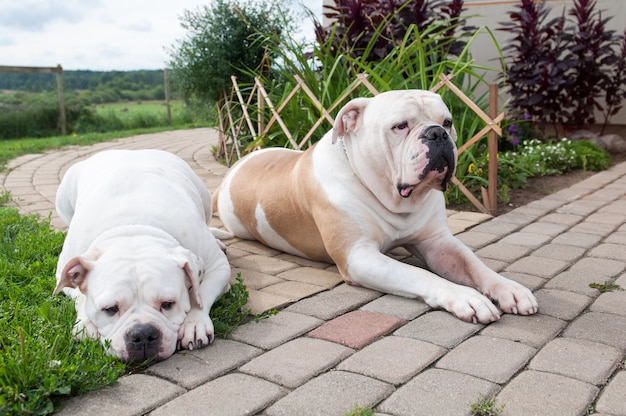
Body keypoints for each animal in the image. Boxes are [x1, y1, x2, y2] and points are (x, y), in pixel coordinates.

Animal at [54, 149, 229, 360]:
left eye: (168, 304)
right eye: (110, 309)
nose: (143, 334)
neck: (133, 228)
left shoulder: (218, 266)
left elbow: (199, 294)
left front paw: (194, 324)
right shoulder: (63, 271)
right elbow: (80, 297)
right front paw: (86, 324)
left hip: (206, 199)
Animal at [213, 89, 536, 324]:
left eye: (448, 122)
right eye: (400, 126)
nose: (437, 133)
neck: (391, 197)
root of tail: (236, 166)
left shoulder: (437, 242)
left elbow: (475, 264)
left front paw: (510, 288)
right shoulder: (359, 256)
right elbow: (419, 274)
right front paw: (465, 297)